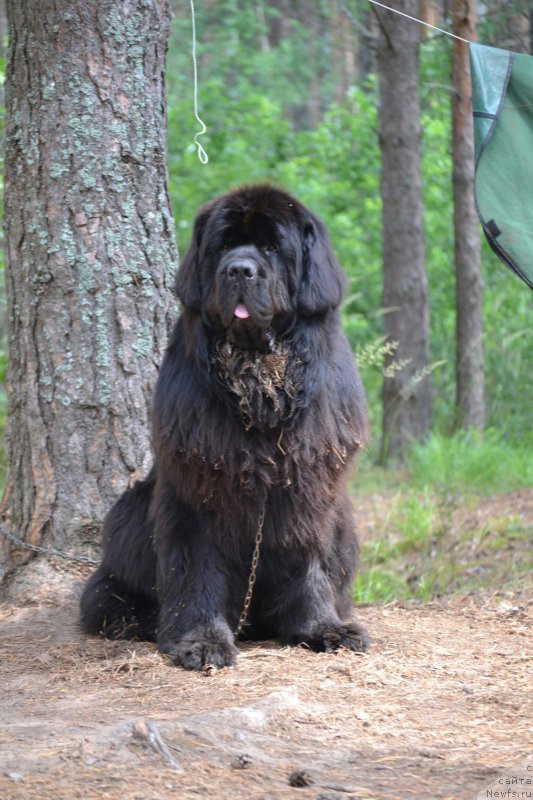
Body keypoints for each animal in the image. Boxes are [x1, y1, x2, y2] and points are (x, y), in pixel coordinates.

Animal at [80, 183, 370, 668]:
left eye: (272, 247)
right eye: (223, 247)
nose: (240, 270)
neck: (258, 384)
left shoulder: (307, 490)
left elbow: (309, 562)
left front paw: (322, 627)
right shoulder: (197, 492)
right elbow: (197, 572)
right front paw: (200, 641)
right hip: (130, 510)